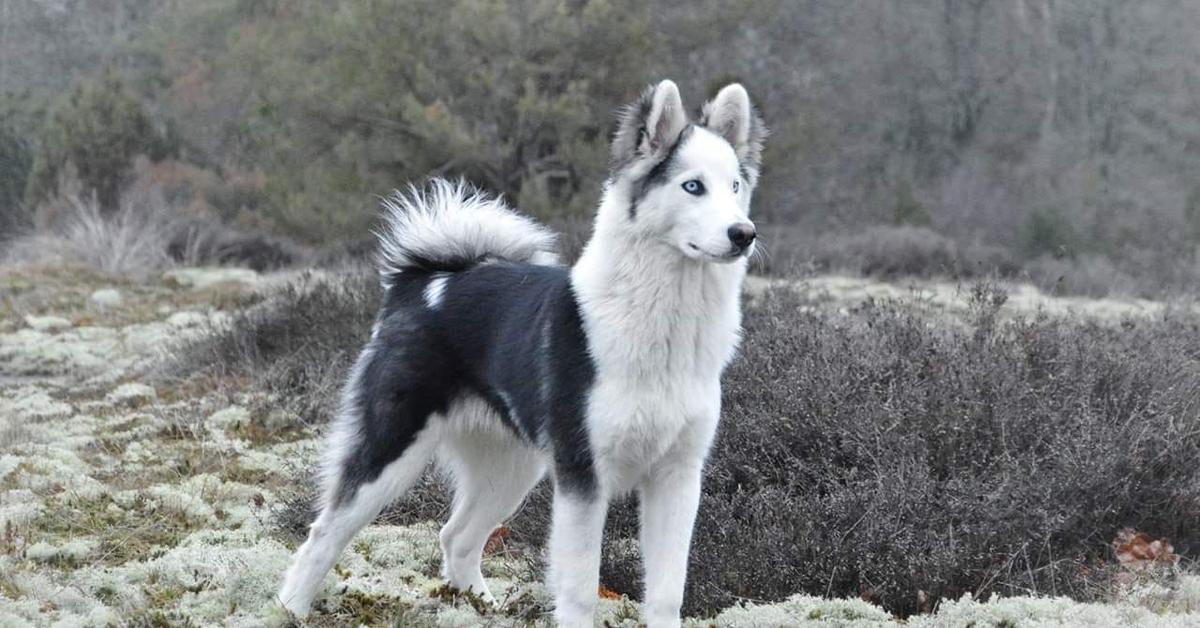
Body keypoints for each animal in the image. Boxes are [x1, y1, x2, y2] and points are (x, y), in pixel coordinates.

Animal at [278, 79, 768, 628]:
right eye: (692, 186)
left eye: (734, 187)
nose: (744, 234)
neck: (665, 322)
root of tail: (425, 282)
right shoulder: (583, 476)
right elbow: (579, 589)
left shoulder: (678, 477)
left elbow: (666, 590)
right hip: (391, 453)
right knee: (323, 535)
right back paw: (290, 610)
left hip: (511, 470)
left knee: (456, 536)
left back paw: (481, 606)